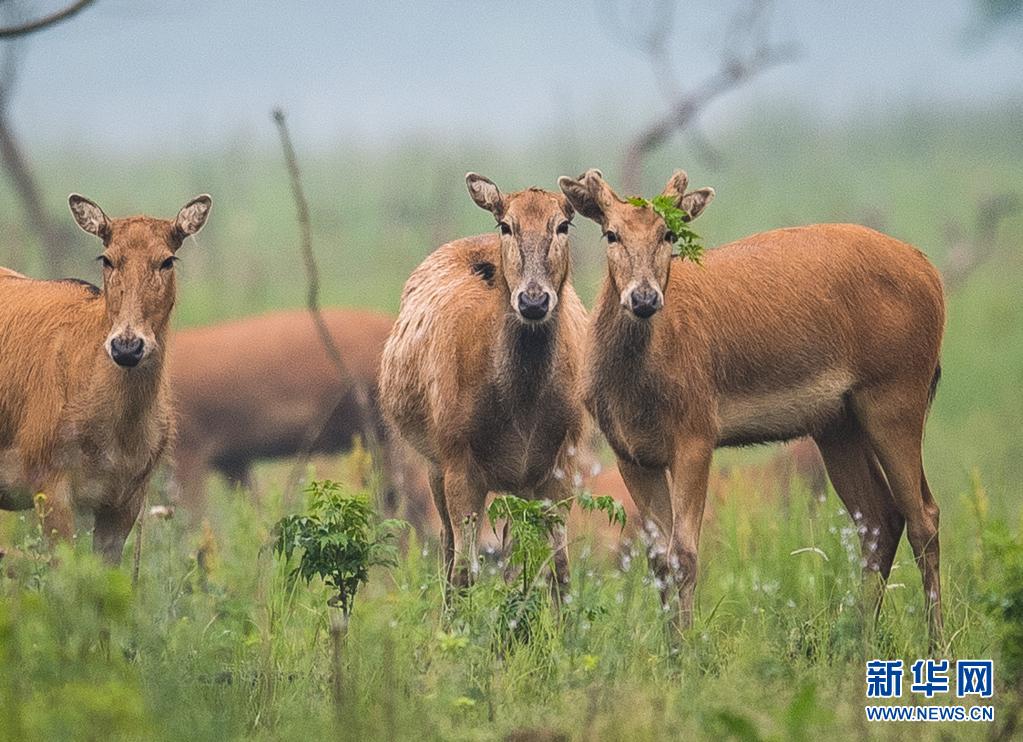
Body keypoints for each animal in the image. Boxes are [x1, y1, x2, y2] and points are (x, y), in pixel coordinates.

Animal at [379, 174, 588, 591]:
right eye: (506, 225)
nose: (533, 300)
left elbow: (559, 568)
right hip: (434, 461)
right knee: (447, 549)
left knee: (514, 555)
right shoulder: (457, 454)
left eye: (563, 225)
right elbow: (464, 570)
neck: (522, 406)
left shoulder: (563, 458)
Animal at [559, 168, 945, 643]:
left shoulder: (696, 431)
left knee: (924, 516)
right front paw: (670, 649)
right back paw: (858, 637)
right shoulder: (629, 451)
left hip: (898, 390)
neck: (636, 393)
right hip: (838, 423)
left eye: (669, 233)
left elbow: (684, 554)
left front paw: (689, 649)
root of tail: (930, 273)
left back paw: (936, 642)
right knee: (880, 518)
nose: (644, 298)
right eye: (610, 233)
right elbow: (658, 559)